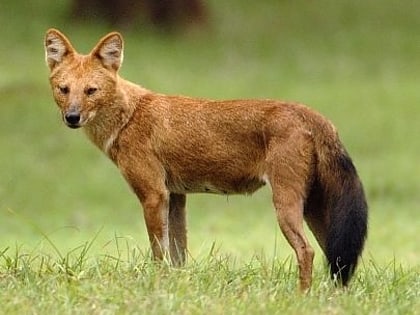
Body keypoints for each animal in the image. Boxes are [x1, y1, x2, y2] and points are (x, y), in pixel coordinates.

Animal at [44, 29, 368, 292]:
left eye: (91, 91)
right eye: (64, 90)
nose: (72, 117)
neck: (128, 117)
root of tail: (311, 113)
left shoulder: (154, 195)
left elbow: (159, 254)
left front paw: (157, 287)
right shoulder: (175, 196)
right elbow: (178, 256)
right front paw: (175, 289)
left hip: (286, 204)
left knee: (307, 251)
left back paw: (302, 297)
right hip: (315, 209)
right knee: (337, 257)